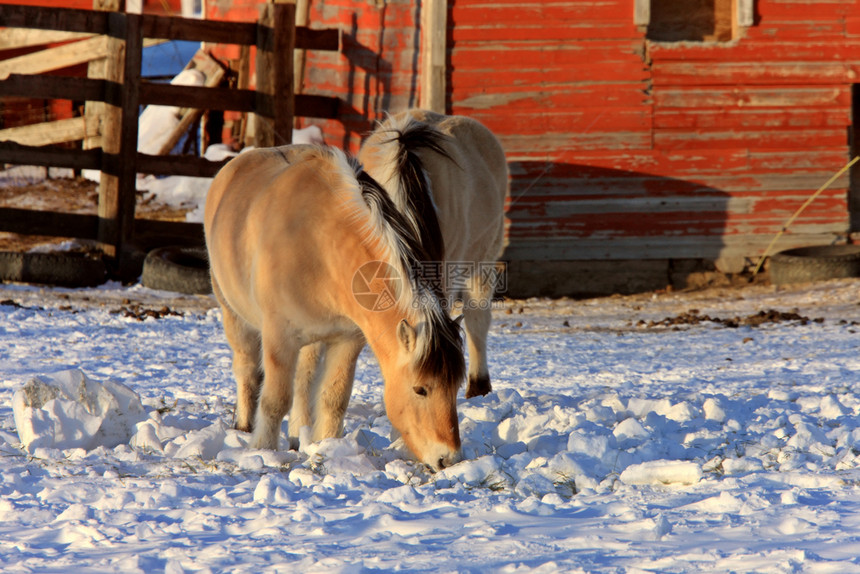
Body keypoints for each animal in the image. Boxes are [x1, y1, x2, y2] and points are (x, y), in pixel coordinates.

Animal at [202, 145, 466, 472]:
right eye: (420, 389)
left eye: (456, 387)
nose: (448, 458)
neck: (320, 242)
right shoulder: (278, 337)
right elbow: (275, 400)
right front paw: (264, 450)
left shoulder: (347, 340)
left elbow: (333, 398)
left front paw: (328, 447)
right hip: (234, 315)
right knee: (248, 371)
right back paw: (243, 426)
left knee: (303, 382)